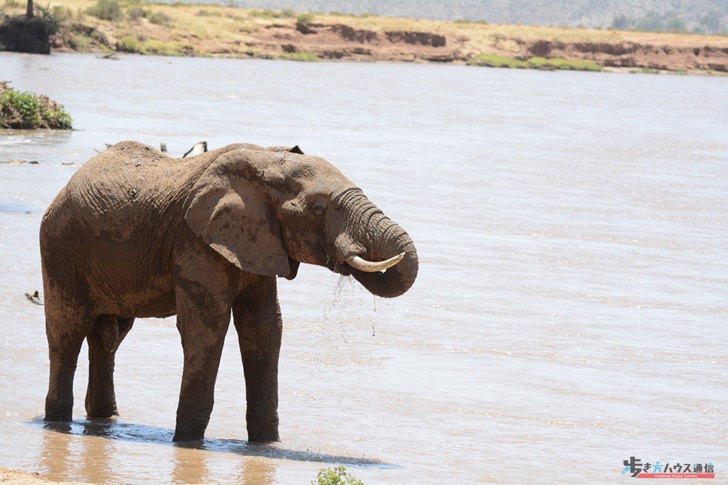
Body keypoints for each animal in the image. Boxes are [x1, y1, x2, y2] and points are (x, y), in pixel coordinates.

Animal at [41, 141, 416, 442]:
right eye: (319, 208)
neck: (268, 161)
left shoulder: (260, 244)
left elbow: (265, 329)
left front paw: (266, 445)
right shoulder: (196, 241)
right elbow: (207, 327)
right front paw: (188, 443)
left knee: (108, 337)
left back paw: (104, 418)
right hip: (61, 248)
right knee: (67, 332)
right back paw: (57, 422)